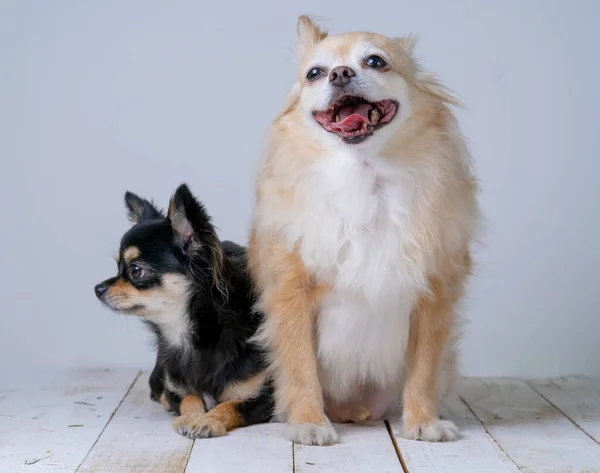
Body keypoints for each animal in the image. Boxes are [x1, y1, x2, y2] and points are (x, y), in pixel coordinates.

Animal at [95, 183, 274, 436]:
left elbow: (230, 405)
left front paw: (209, 420)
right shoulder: (172, 389)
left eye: (135, 270)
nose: (97, 289)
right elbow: (189, 397)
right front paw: (191, 416)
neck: (197, 333)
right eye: (117, 266)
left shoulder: (265, 399)